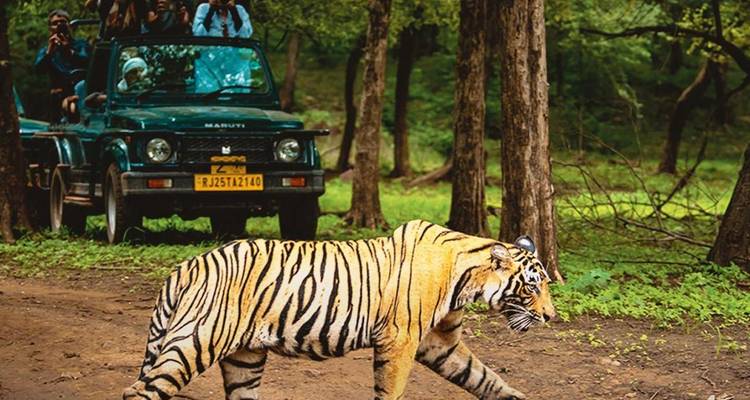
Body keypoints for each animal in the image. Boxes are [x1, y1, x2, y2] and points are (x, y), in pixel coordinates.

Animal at [123, 219, 556, 400]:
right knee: (139, 391)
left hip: (244, 357)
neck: (466, 278)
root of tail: (186, 265)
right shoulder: (399, 340)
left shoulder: (441, 343)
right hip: (196, 341)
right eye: (533, 285)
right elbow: (391, 391)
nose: (550, 316)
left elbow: (485, 378)